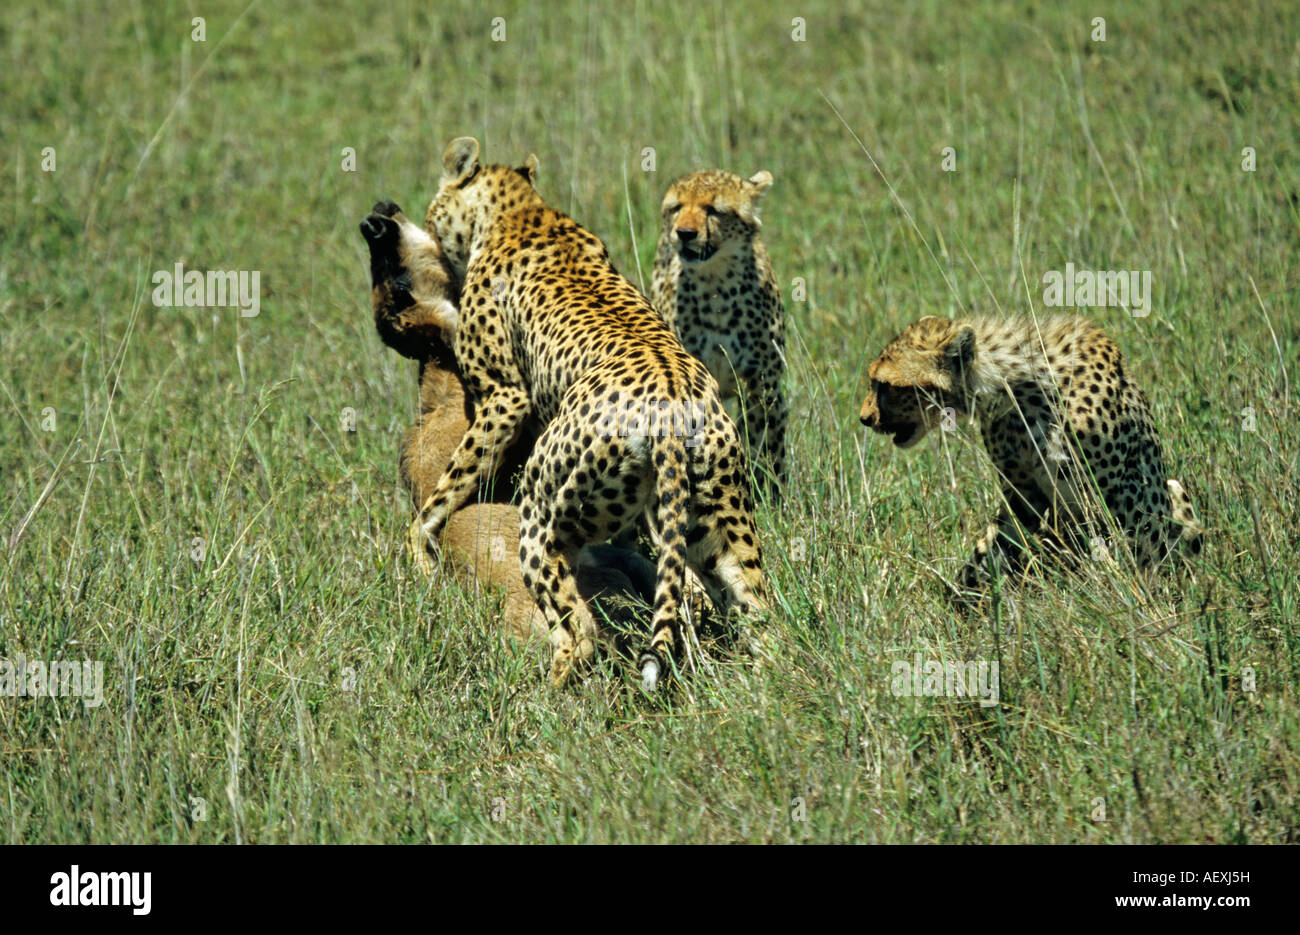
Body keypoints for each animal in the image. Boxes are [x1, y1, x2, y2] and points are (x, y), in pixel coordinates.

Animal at [416, 137, 764, 686]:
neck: (523, 209)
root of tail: (669, 403)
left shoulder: (503, 397)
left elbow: (444, 490)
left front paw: (418, 553)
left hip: (542, 513)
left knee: (576, 630)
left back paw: (543, 698)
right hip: (718, 521)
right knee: (760, 609)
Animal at [655, 172, 785, 501]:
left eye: (713, 210)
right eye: (677, 207)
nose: (684, 233)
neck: (716, 285)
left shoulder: (763, 385)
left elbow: (766, 444)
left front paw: (769, 495)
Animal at [857, 312, 1201, 592]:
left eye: (886, 385)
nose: (864, 418)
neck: (1014, 386)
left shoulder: (1123, 500)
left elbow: (1136, 552)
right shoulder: (1023, 498)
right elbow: (996, 550)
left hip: (1172, 490)